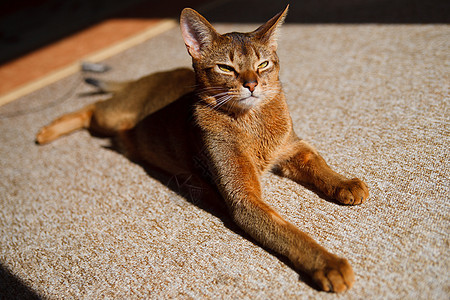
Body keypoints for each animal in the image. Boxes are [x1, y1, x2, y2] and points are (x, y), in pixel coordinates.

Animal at [36, 5, 370, 292]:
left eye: (263, 64)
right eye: (225, 68)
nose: (252, 84)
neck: (251, 122)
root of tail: (145, 78)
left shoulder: (293, 147)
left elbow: (319, 163)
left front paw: (346, 184)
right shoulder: (243, 198)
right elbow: (291, 232)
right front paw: (329, 265)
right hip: (113, 115)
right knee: (91, 108)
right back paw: (45, 132)